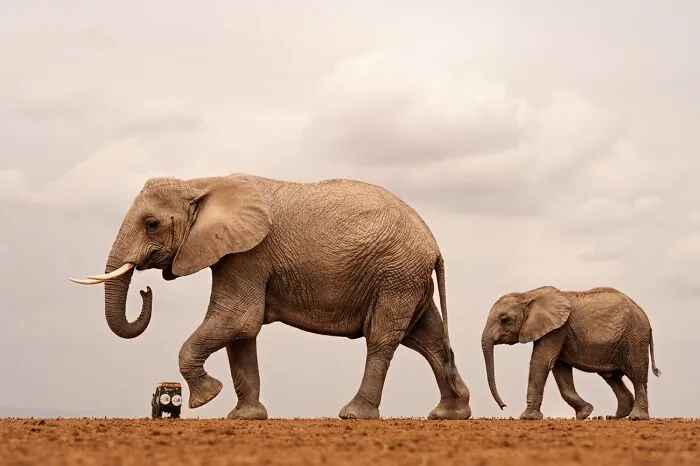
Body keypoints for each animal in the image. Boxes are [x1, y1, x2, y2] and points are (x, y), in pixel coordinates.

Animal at [70, 173, 472, 421]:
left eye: (151, 224)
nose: (145, 288)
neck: (201, 182)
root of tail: (434, 245)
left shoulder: (249, 254)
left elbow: (237, 318)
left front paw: (207, 398)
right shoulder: (235, 253)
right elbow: (241, 333)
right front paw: (244, 417)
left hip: (395, 275)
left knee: (383, 339)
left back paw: (354, 415)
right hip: (406, 279)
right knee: (428, 340)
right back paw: (449, 415)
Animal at [481, 285, 661, 421]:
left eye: (504, 320)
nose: (504, 406)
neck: (527, 294)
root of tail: (646, 318)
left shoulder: (557, 329)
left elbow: (541, 361)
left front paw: (527, 418)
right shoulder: (558, 330)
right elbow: (559, 368)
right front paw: (585, 413)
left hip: (635, 338)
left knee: (637, 375)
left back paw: (636, 418)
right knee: (612, 377)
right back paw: (614, 417)